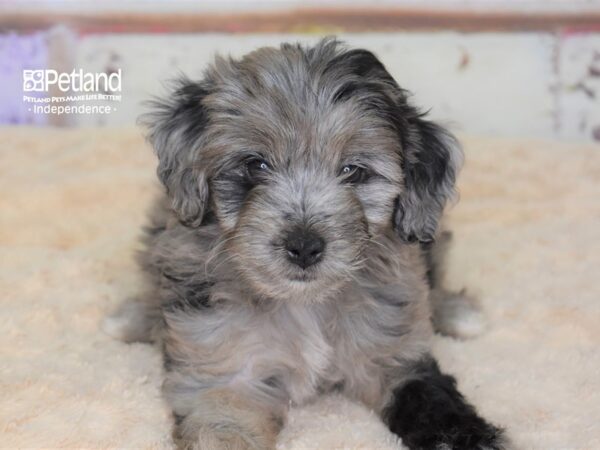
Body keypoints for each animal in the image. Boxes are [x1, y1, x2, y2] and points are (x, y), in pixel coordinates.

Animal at [105, 39, 504, 450]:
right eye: (255, 165)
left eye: (353, 171)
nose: (304, 246)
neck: (305, 302)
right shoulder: (226, 379)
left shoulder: (394, 355)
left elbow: (435, 406)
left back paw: (459, 313)